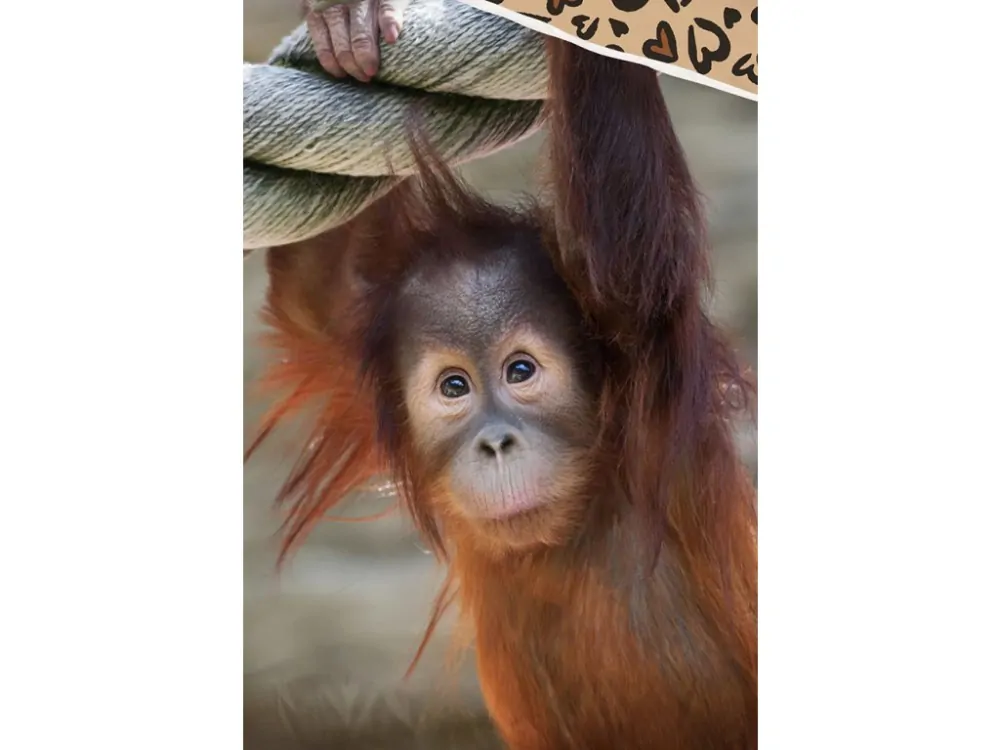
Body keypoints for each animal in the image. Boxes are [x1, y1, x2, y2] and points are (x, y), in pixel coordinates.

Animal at [247, 37, 757, 750]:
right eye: (454, 386)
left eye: (520, 372)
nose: (495, 442)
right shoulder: (351, 336)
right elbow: (312, 278)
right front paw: (347, 29)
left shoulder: (647, 357)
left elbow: (622, 248)